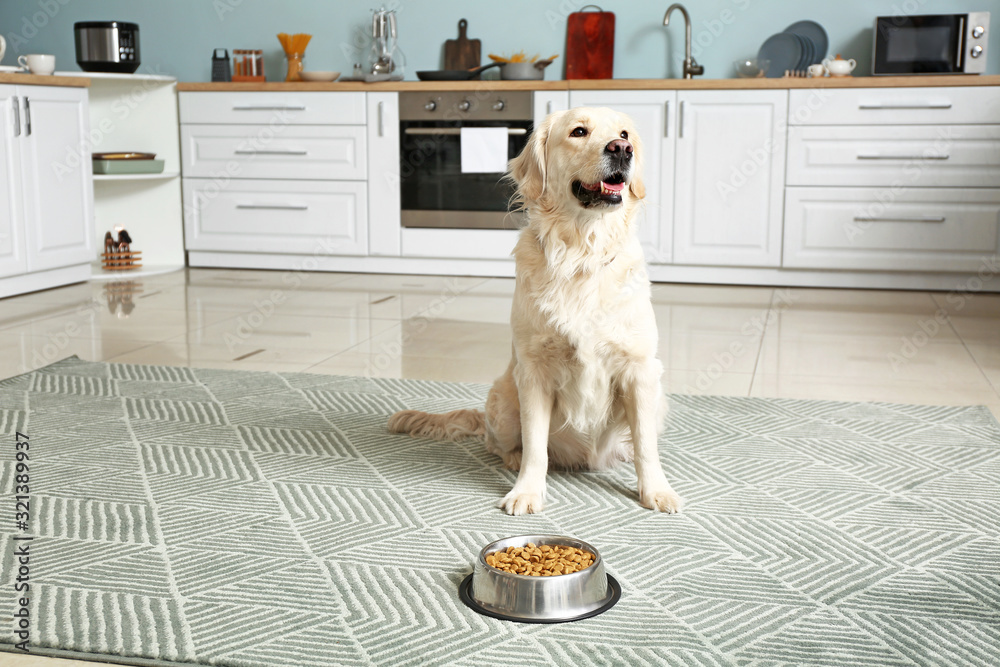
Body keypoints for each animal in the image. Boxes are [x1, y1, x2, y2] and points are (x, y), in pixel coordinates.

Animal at [386, 108, 684, 516]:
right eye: (579, 132)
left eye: (624, 134)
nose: (622, 150)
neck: (582, 255)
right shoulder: (534, 372)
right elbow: (535, 446)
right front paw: (526, 491)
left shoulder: (638, 370)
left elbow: (646, 446)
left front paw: (656, 491)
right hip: (503, 399)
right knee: (498, 443)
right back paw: (512, 459)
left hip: (658, 396)